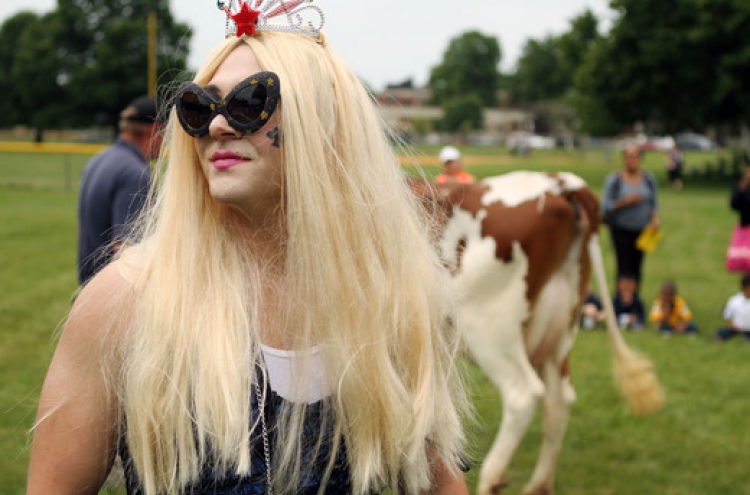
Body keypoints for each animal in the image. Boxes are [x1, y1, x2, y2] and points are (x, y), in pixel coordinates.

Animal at [414, 171, 668, 495]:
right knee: (559, 400)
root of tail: (558, 182)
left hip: (488, 328)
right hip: (561, 330)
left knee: (523, 394)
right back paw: (538, 485)